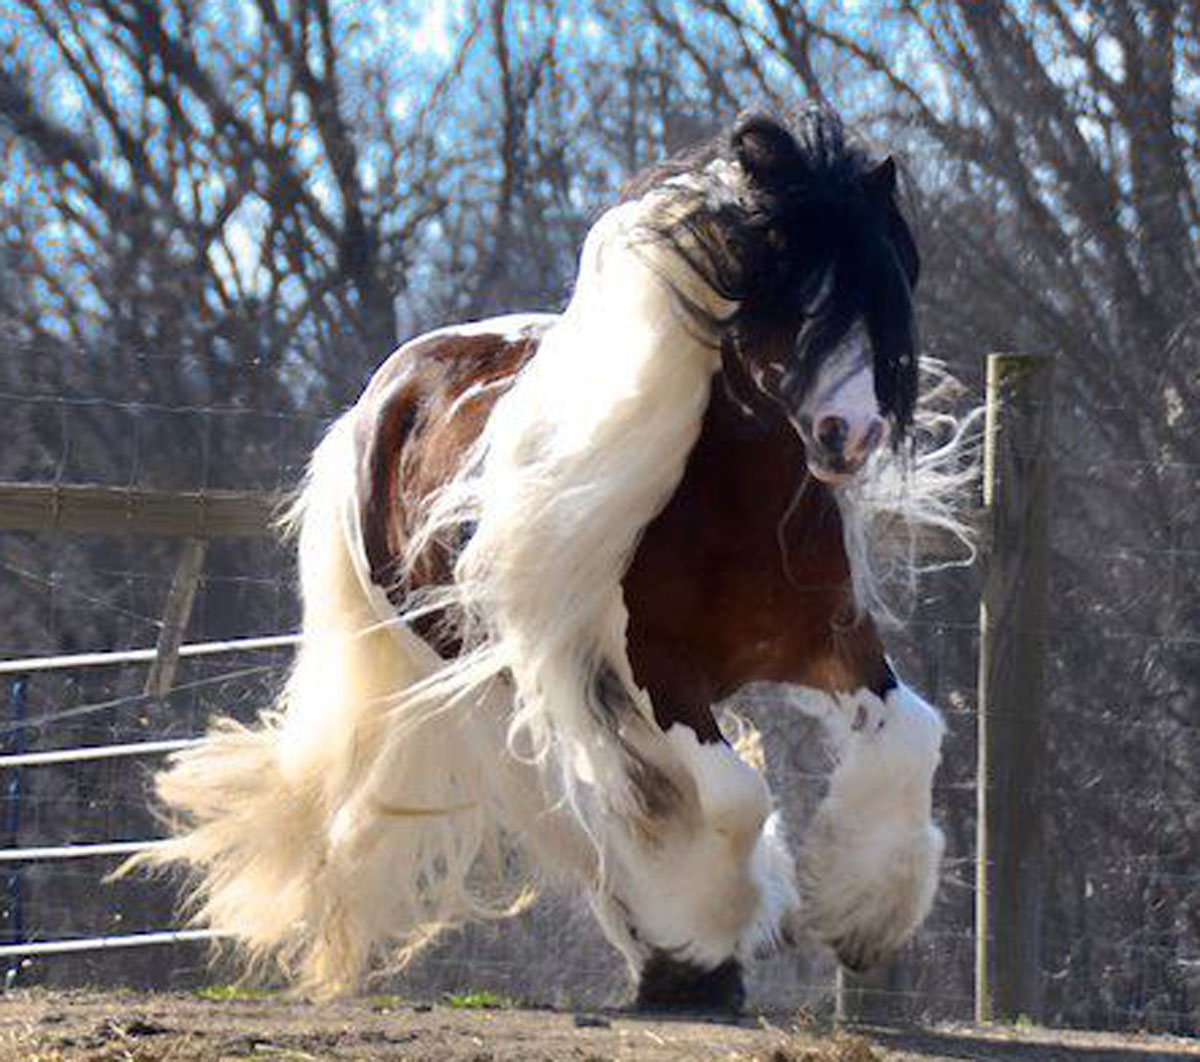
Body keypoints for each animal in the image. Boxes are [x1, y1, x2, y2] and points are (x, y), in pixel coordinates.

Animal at [140, 108, 969, 1012]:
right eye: (789, 291)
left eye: (888, 289)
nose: (848, 434)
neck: (734, 512)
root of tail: (379, 399)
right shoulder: (647, 674)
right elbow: (729, 798)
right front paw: (714, 936)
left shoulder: (827, 640)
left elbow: (911, 735)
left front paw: (862, 916)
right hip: (485, 678)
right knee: (578, 808)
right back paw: (671, 952)